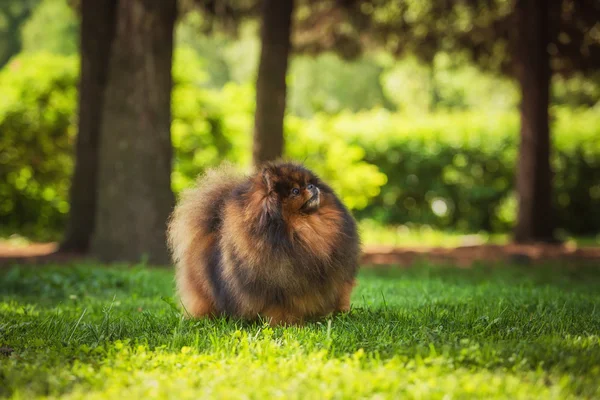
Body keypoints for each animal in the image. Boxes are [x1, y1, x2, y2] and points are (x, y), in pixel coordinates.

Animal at [166, 160, 358, 324]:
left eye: (309, 183)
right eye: (295, 191)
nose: (312, 186)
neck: (305, 228)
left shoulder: (336, 277)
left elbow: (340, 293)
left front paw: (340, 314)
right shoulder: (276, 285)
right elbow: (280, 308)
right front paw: (289, 324)